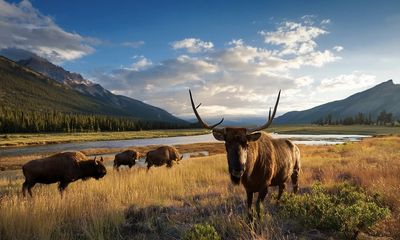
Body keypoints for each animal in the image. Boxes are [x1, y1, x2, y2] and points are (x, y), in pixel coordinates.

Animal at [190, 89, 300, 218]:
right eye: (226, 145)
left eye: (247, 144)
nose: (238, 169)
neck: (251, 172)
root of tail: (296, 147)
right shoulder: (248, 188)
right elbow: (249, 210)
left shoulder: (265, 185)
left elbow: (258, 209)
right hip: (282, 176)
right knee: (282, 187)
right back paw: (277, 204)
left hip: (296, 171)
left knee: (295, 187)